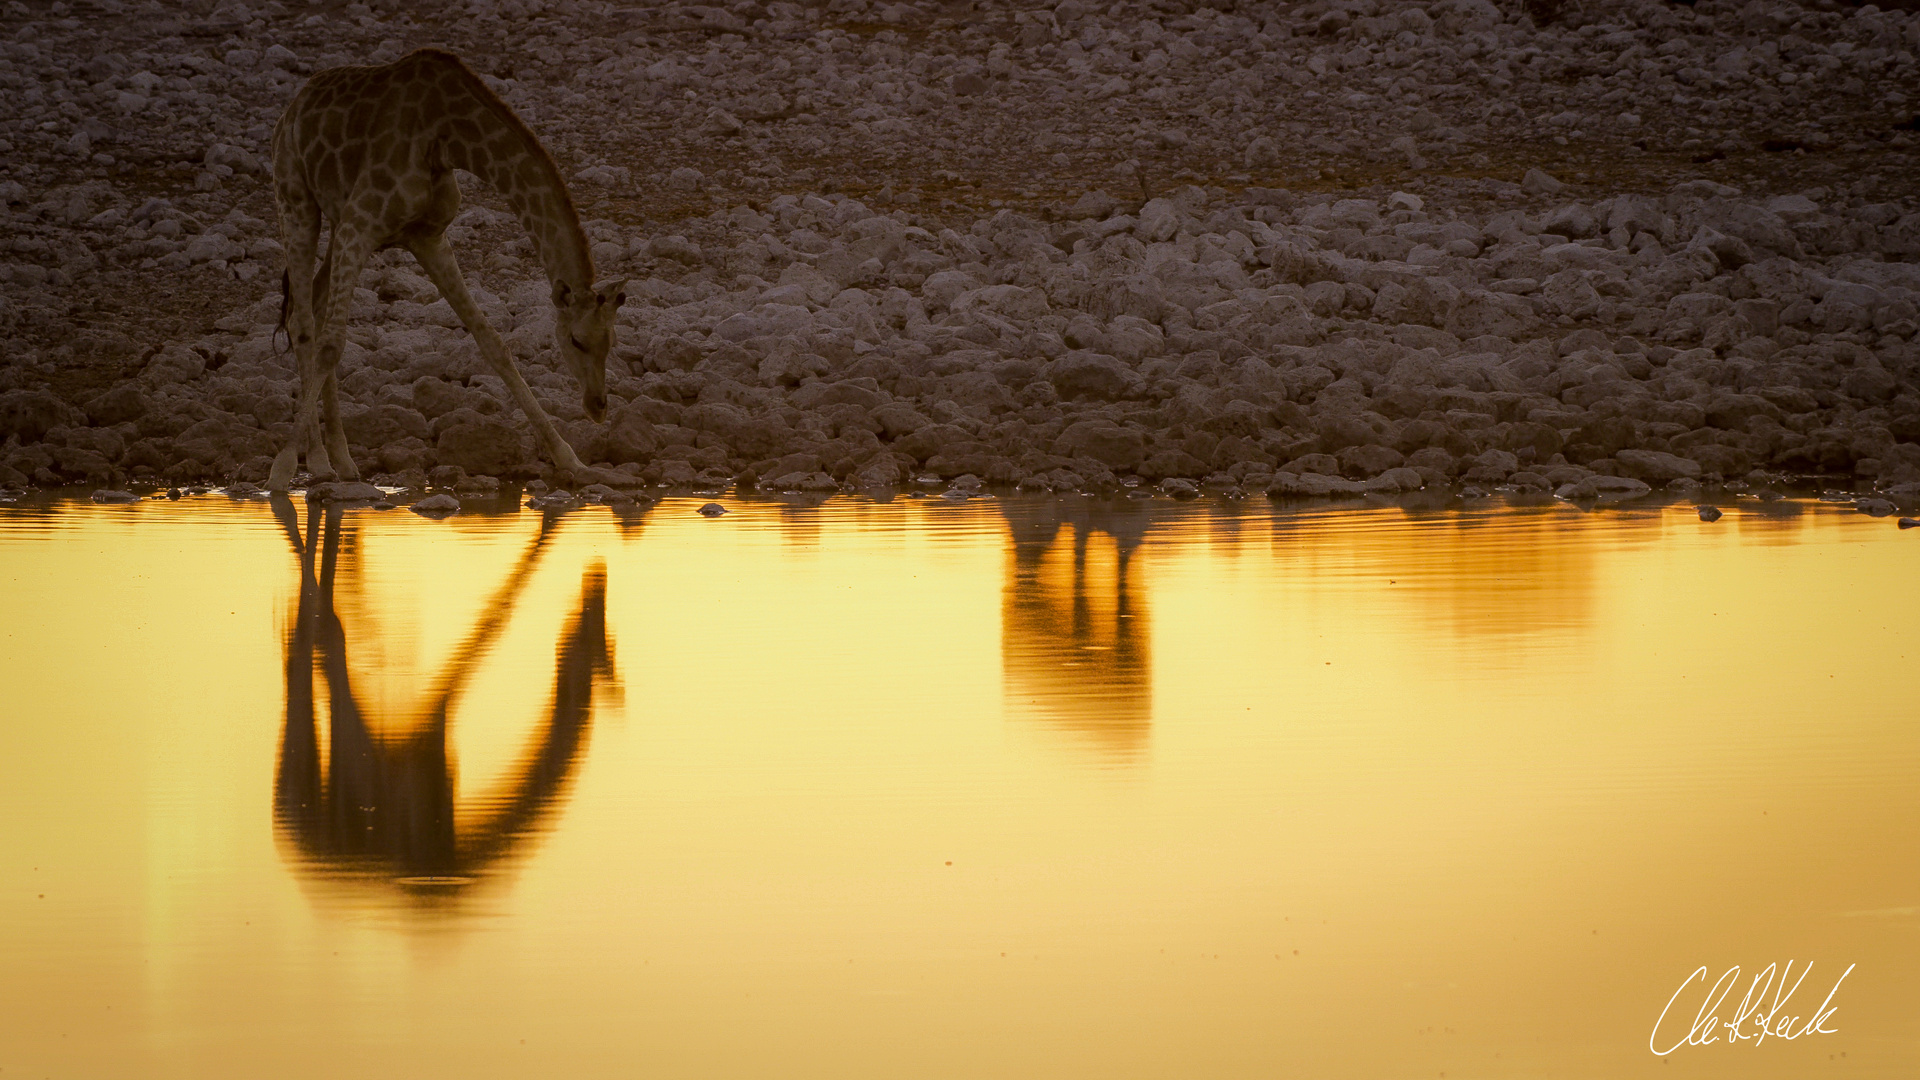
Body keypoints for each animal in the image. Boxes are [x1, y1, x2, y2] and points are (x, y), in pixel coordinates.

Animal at [270, 48, 625, 490]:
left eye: (612, 341)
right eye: (576, 340)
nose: (598, 406)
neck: (448, 139)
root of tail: (292, 109)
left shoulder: (427, 236)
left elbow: (493, 342)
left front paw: (571, 459)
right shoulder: (360, 225)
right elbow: (333, 345)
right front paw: (282, 467)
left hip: (335, 219)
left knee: (315, 308)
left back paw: (342, 460)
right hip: (296, 199)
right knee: (303, 323)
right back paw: (317, 461)